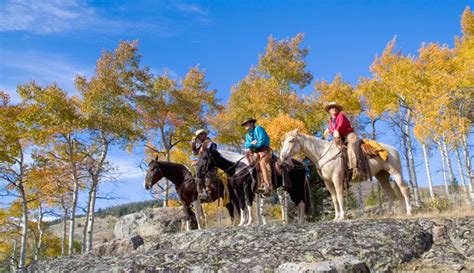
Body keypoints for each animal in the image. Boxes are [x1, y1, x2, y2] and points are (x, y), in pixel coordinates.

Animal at [282, 129, 412, 220]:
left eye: (291, 140)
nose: (283, 156)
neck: (325, 154)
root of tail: (394, 150)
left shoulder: (337, 178)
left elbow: (340, 196)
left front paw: (342, 216)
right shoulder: (328, 182)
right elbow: (334, 199)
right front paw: (336, 217)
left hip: (396, 173)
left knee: (404, 190)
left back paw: (409, 212)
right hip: (382, 176)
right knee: (390, 193)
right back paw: (392, 213)